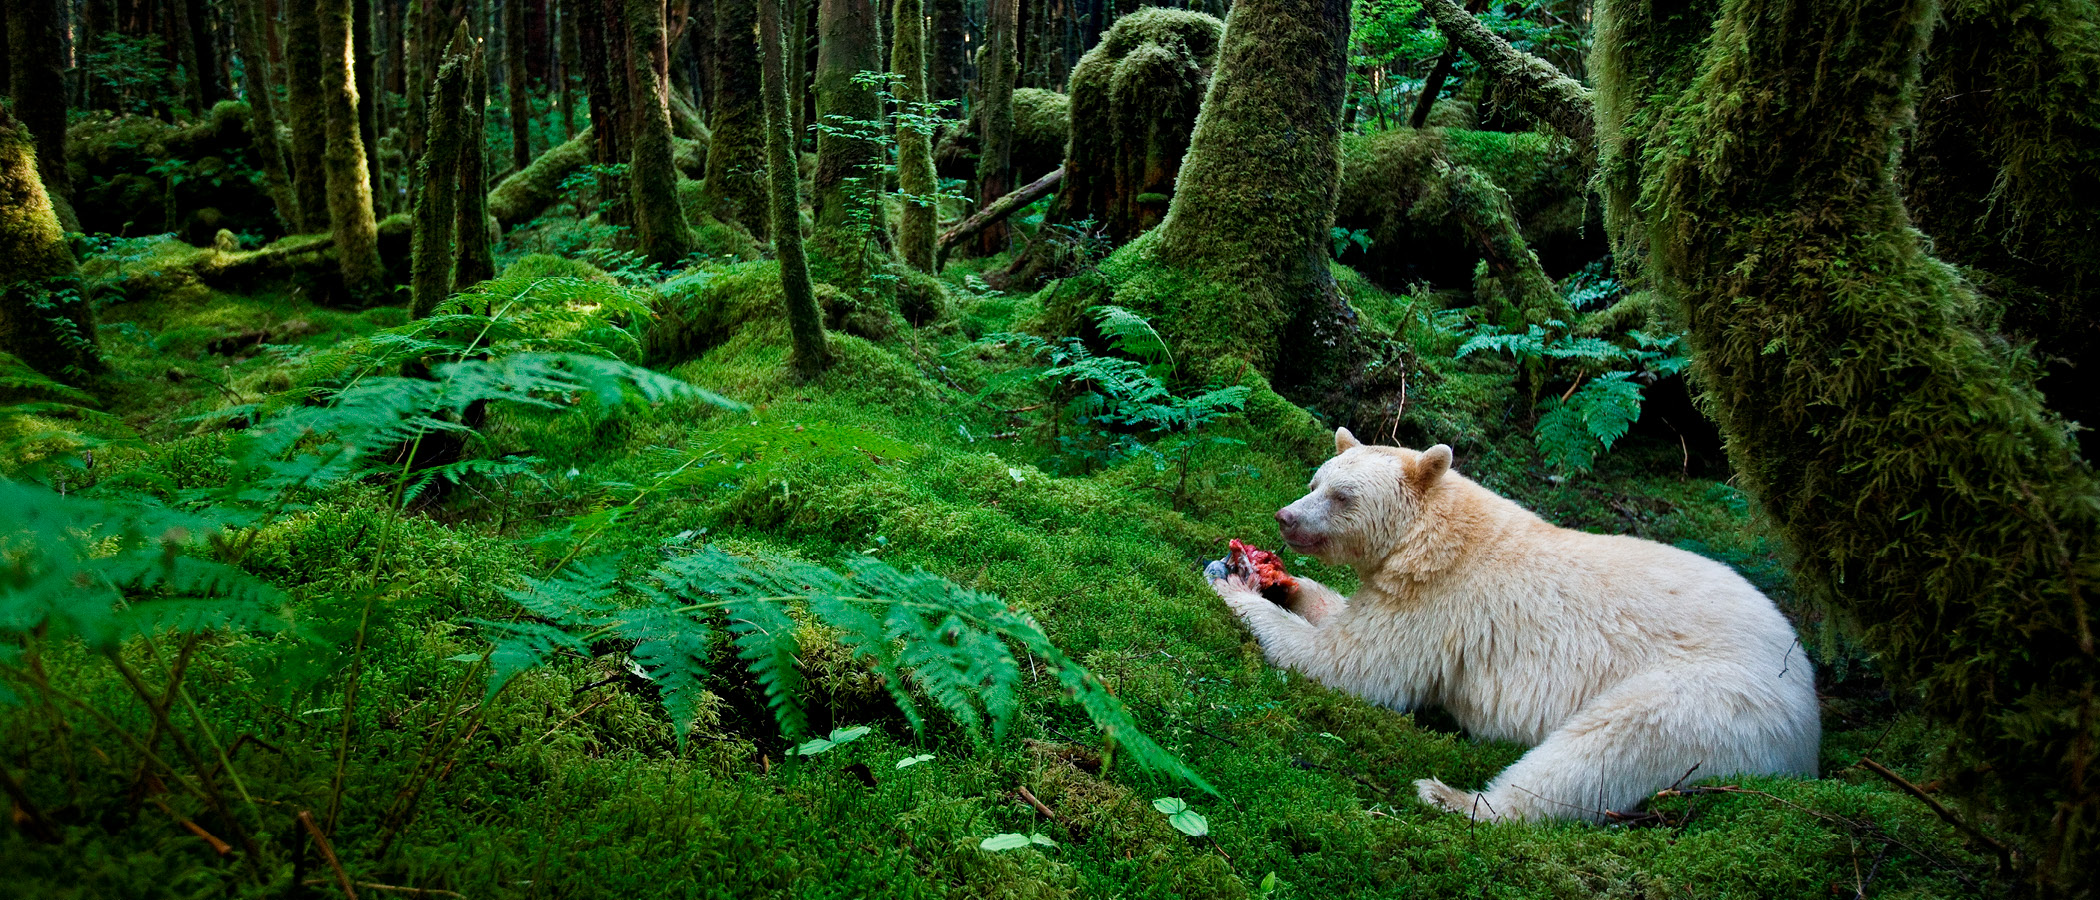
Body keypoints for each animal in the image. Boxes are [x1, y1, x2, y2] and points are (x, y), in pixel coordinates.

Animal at [1218, 427, 1822, 822]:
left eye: (1342, 496)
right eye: (1314, 480)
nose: (1286, 517)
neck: (1436, 536)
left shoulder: (1441, 604)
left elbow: (1355, 665)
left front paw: (1234, 588)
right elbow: (1344, 617)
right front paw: (1282, 581)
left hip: (1721, 700)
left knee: (1612, 743)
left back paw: (1455, 798)